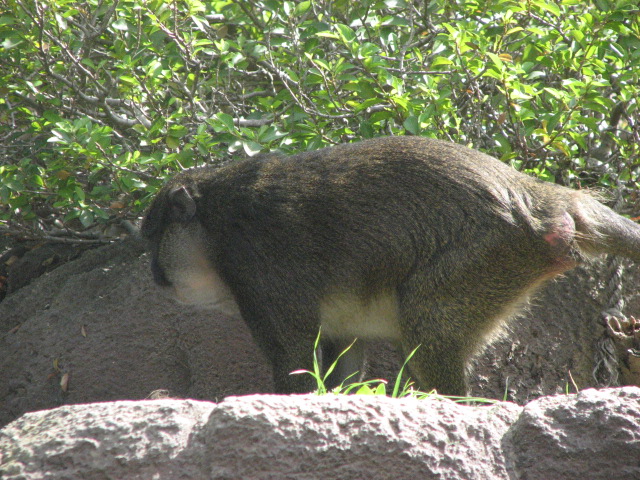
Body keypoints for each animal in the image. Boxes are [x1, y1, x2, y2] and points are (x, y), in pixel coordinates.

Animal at [141, 136, 640, 396]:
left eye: (151, 241)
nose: (154, 276)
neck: (213, 226)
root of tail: (543, 199)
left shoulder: (257, 266)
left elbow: (294, 359)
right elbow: (343, 355)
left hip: (489, 254)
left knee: (428, 326)